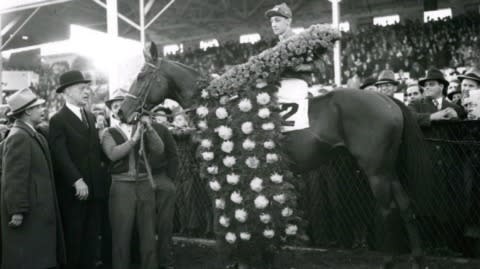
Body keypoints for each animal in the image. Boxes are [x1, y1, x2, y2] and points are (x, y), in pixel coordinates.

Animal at [119, 43, 432, 266]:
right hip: (388, 168)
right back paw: (417, 258)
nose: (122, 112)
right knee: (406, 206)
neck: (218, 106)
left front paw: (243, 257)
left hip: (375, 169)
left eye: (141, 76)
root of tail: (386, 99)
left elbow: (238, 217)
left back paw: (389, 260)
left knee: (388, 209)